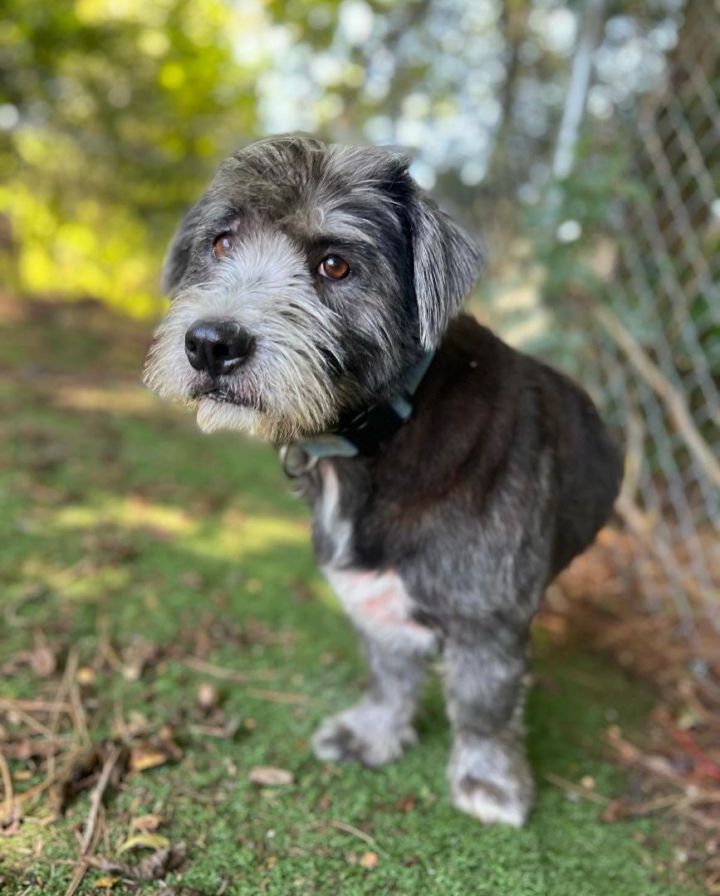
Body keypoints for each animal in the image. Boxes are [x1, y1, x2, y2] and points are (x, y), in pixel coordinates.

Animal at [143, 133, 620, 824]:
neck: (382, 433)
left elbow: (484, 702)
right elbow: (391, 675)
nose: (210, 343)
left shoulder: (487, 615)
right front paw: (373, 735)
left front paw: (489, 780)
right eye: (222, 243)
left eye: (335, 265)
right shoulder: (374, 597)